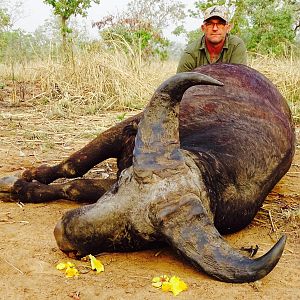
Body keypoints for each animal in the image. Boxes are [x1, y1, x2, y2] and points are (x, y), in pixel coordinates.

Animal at [0, 63, 296, 284]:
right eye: (120, 184)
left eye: (137, 234)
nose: (62, 233)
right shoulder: (124, 129)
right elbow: (73, 166)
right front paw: (19, 180)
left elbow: (77, 186)